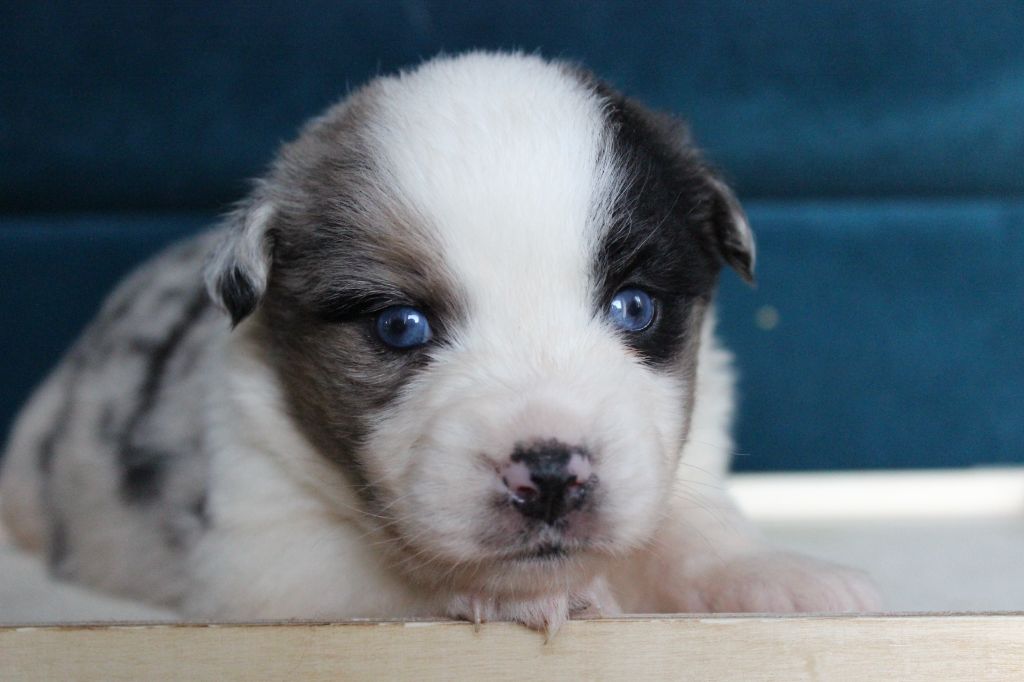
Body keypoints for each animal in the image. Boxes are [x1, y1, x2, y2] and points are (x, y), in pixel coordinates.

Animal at [2, 50, 880, 630]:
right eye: (400, 327)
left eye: (634, 308)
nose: (551, 476)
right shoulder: (262, 559)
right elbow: (380, 582)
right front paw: (504, 592)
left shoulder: (678, 468)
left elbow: (693, 530)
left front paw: (777, 576)